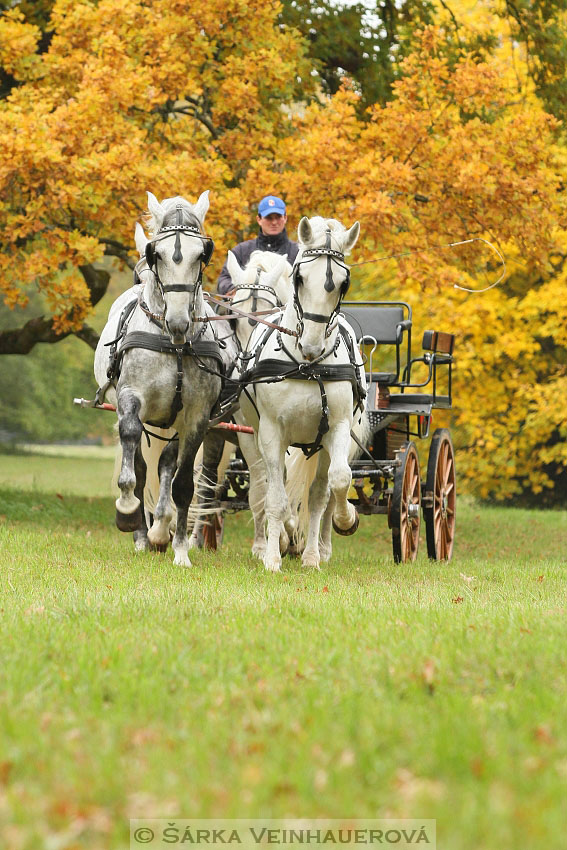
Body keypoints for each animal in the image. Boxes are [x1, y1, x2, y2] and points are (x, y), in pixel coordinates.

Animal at [94, 190, 236, 564]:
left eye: (202, 254)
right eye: (154, 253)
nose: (177, 322)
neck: (174, 344)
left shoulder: (197, 417)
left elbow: (182, 483)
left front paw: (181, 550)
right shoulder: (130, 399)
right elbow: (134, 457)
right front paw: (127, 509)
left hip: (172, 423)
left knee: (167, 465)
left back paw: (159, 529)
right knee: (143, 466)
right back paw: (142, 532)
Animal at [239, 214, 368, 568]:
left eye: (343, 283)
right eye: (299, 277)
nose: (311, 345)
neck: (308, 366)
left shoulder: (338, 428)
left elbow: (337, 482)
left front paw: (345, 520)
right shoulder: (271, 432)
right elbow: (276, 497)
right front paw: (273, 557)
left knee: (322, 491)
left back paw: (317, 550)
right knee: (272, 484)